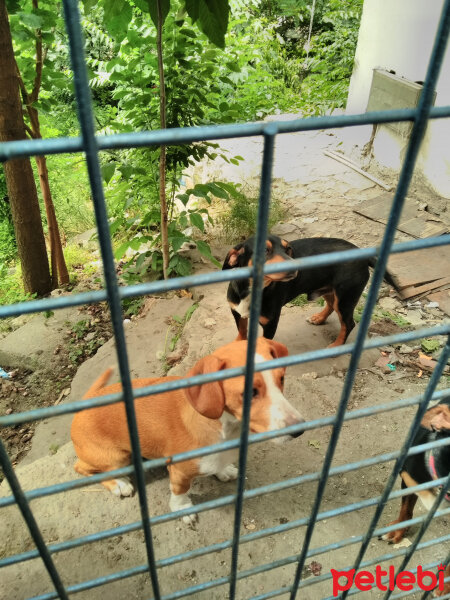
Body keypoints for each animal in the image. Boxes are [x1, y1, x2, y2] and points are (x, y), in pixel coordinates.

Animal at [72, 340, 304, 524]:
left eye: (281, 379)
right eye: (249, 392)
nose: (300, 429)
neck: (226, 429)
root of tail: (85, 402)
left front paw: (223, 471)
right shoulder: (179, 472)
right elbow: (180, 493)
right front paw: (182, 509)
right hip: (117, 457)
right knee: (82, 468)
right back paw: (119, 484)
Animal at [222, 234, 398, 346]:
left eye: (288, 249)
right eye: (265, 250)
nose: (295, 267)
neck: (251, 289)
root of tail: (363, 253)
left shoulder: (270, 323)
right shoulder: (236, 312)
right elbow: (242, 331)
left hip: (346, 298)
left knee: (348, 324)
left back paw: (336, 346)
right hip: (331, 291)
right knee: (331, 306)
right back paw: (319, 318)